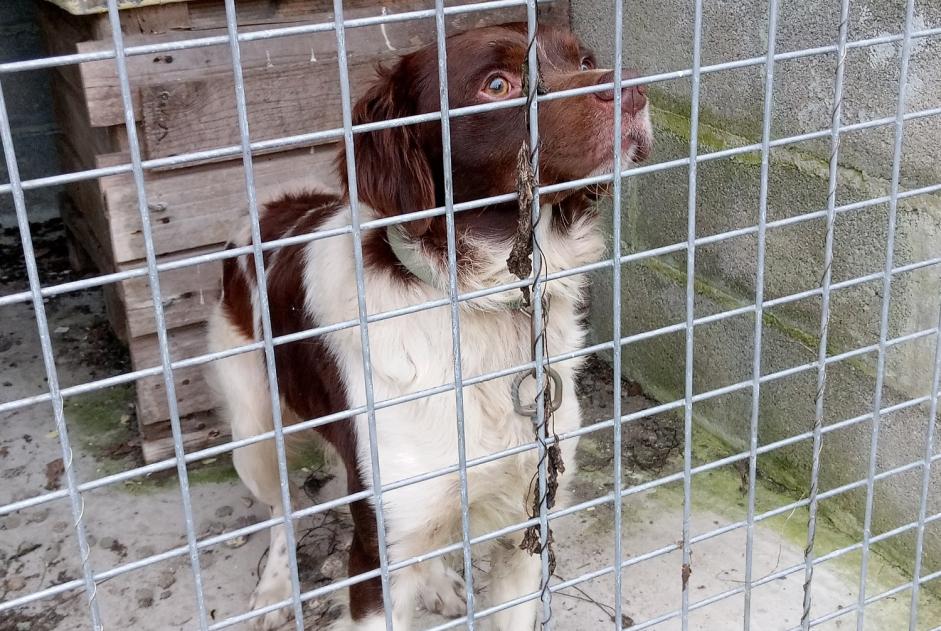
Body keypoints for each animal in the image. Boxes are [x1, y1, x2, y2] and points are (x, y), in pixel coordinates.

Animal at [207, 22, 648, 628]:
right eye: (496, 83)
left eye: (584, 60)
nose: (634, 89)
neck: (483, 305)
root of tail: (275, 206)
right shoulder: (380, 557)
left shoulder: (528, 529)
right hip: (252, 430)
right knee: (280, 509)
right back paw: (275, 589)